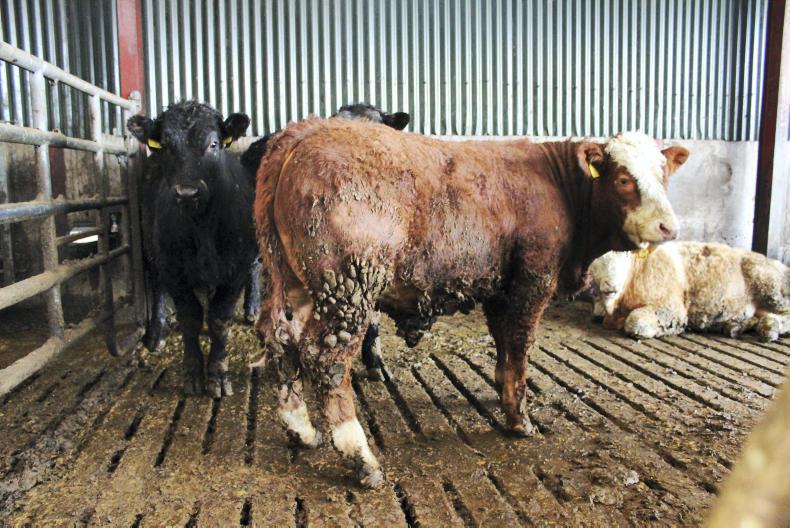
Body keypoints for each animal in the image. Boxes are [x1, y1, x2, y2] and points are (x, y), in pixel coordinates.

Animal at [127, 101, 257, 398]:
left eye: (213, 144)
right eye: (164, 145)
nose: (187, 192)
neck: (203, 225)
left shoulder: (237, 268)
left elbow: (220, 318)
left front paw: (218, 373)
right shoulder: (173, 269)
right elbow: (190, 317)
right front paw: (193, 372)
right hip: (151, 245)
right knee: (156, 284)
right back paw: (156, 333)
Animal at [253, 119, 688, 487]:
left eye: (665, 175)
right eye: (623, 179)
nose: (669, 226)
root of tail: (303, 132)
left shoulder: (501, 288)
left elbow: (502, 344)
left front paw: (501, 391)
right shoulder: (533, 279)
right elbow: (519, 345)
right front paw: (519, 418)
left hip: (292, 282)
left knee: (279, 339)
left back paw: (302, 429)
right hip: (348, 285)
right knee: (325, 360)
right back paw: (360, 458)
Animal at [589, 242, 790, 341]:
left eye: (625, 254)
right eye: (594, 264)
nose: (609, 287)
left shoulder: (671, 308)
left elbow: (634, 322)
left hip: (772, 288)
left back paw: (770, 328)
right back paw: (736, 326)